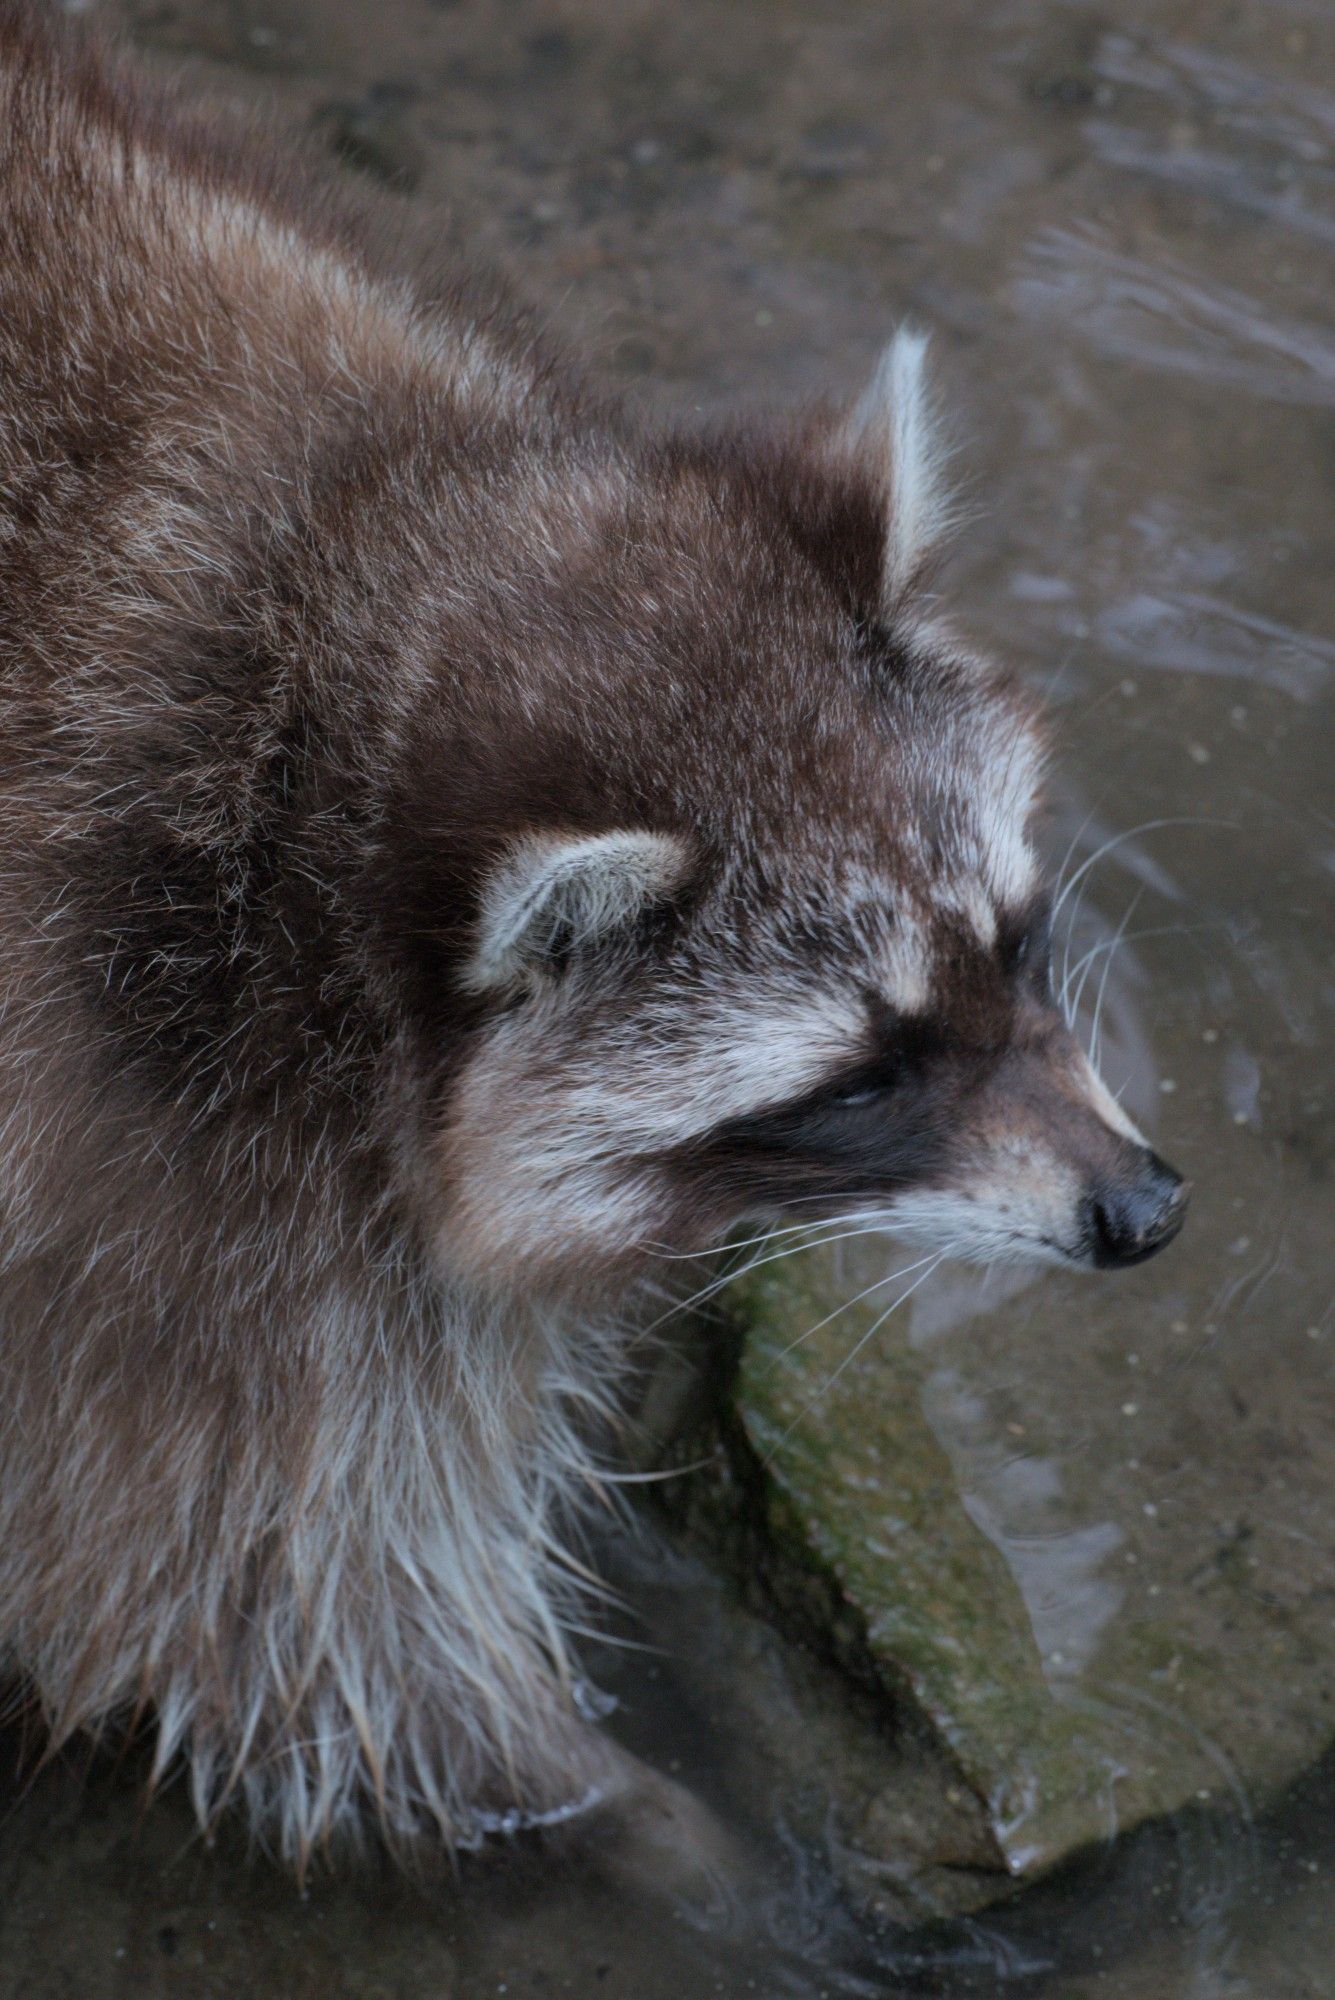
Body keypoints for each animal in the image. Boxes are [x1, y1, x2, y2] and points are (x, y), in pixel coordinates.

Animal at [0, 0, 1191, 1872]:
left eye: (1015, 941)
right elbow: (269, 1620)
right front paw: (651, 1831)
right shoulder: (150, 1156)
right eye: (866, 1075)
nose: (1140, 1212)